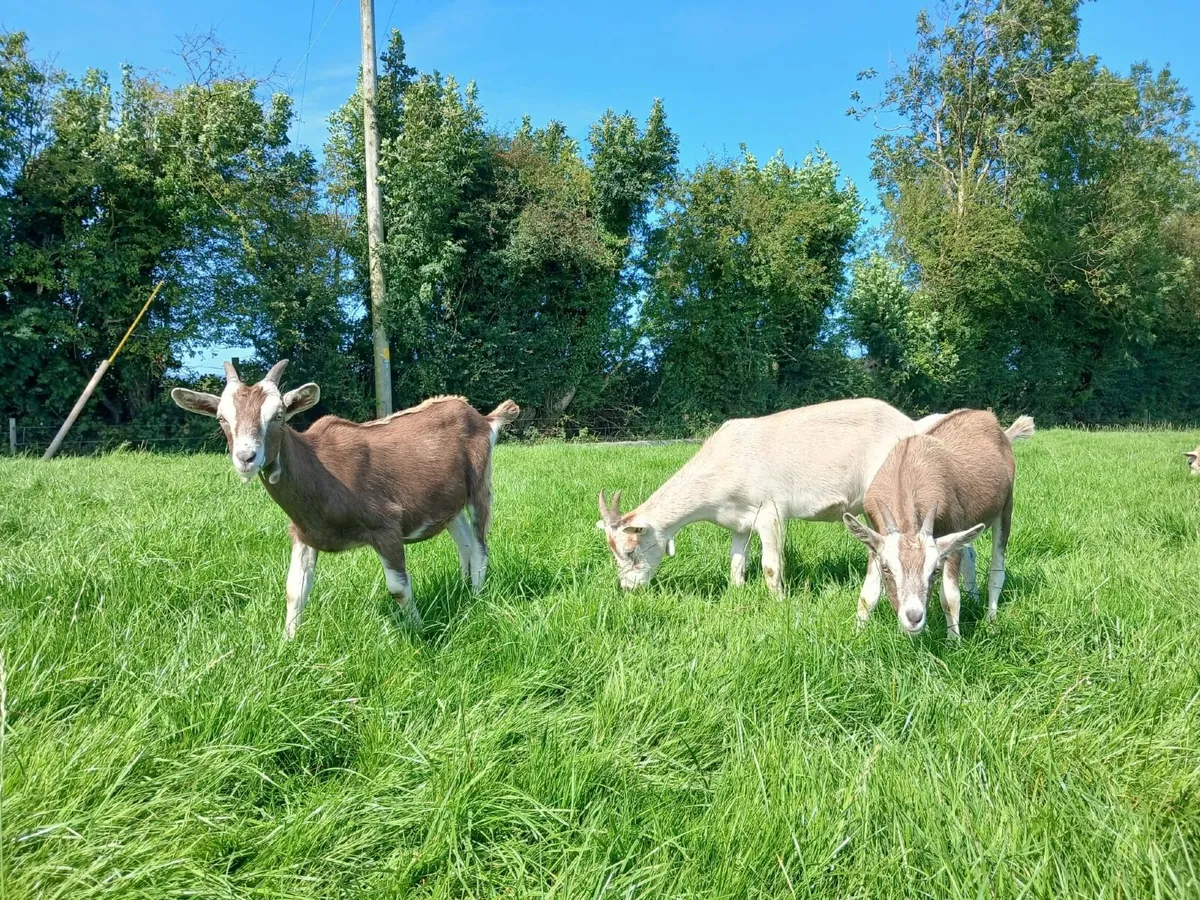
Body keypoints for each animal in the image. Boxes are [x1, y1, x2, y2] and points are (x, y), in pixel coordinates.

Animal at [171, 360, 519, 638]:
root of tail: (484, 419)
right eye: (221, 418)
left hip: (479, 483)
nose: (246, 457)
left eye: (279, 416)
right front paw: (287, 644)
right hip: (447, 502)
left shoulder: (386, 525)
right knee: (464, 541)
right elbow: (295, 589)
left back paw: (476, 596)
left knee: (480, 544)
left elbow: (398, 588)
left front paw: (420, 632)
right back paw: (463, 590)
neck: (320, 467)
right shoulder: (304, 533)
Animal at [596, 398, 942, 595]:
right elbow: (736, 562)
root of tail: (914, 425)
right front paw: (737, 594)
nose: (627, 588)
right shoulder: (739, 521)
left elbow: (771, 566)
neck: (724, 462)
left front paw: (779, 602)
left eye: (631, 551)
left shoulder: (770, 512)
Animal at [842, 409, 1035, 640]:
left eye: (935, 570)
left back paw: (990, 619)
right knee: (970, 555)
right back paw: (974, 599)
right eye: (886, 568)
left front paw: (954, 641)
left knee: (997, 569)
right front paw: (858, 635)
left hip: (1005, 509)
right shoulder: (875, 540)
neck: (906, 470)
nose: (914, 617)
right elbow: (868, 595)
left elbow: (950, 598)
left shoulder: (951, 535)